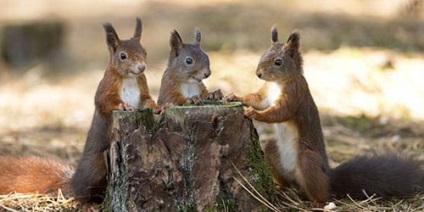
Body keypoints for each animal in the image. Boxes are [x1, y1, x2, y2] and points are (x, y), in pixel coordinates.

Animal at [71, 17, 159, 203]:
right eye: (122, 56)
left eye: (145, 51)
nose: (141, 67)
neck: (130, 78)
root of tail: (73, 180)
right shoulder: (105, 88)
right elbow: (104, 101)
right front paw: (124, 105)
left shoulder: (143, 88)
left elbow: (147, 100)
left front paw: (157, 107)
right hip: (97, 167)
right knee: (82, 193)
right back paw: (87, 203)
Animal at [225, 26, 424, 207]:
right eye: (263, 54)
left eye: (278, 62)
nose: (258, 74)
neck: (278, 83)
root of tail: (328, 175)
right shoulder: (265, 94)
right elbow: (255, 99)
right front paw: (235, 97)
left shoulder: (295, 95)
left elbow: (279, 112)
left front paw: (254, 113)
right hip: (274, 151)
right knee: (281, 168)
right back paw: (280, 187)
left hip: (309, 161)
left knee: (321, 190)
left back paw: (318, 203)